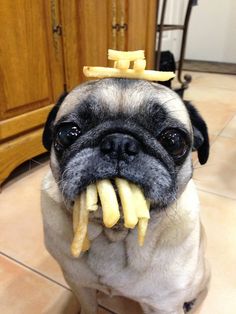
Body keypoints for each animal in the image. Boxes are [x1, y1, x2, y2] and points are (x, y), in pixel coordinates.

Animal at [40, 78, 210, 314]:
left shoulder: (163, 304)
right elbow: (88, 306)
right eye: (68, 133)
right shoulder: (78, 285)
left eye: (174, 141)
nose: (119, 143)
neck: (114, 234)